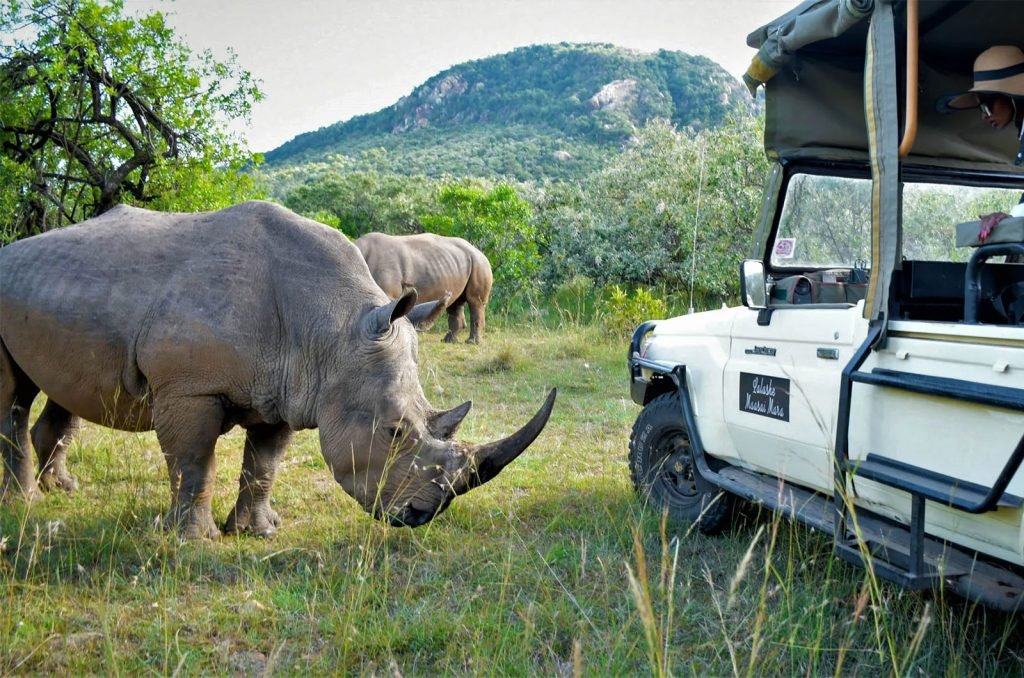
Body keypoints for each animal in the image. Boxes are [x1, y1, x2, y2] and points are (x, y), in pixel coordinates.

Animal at [355, 232, 493, 344]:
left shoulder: (389, 292)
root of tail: (477, 250)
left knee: (475, 301)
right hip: (457, 264)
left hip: (479, 263)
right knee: (455, 302)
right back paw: (448, 341)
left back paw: (472, 342)